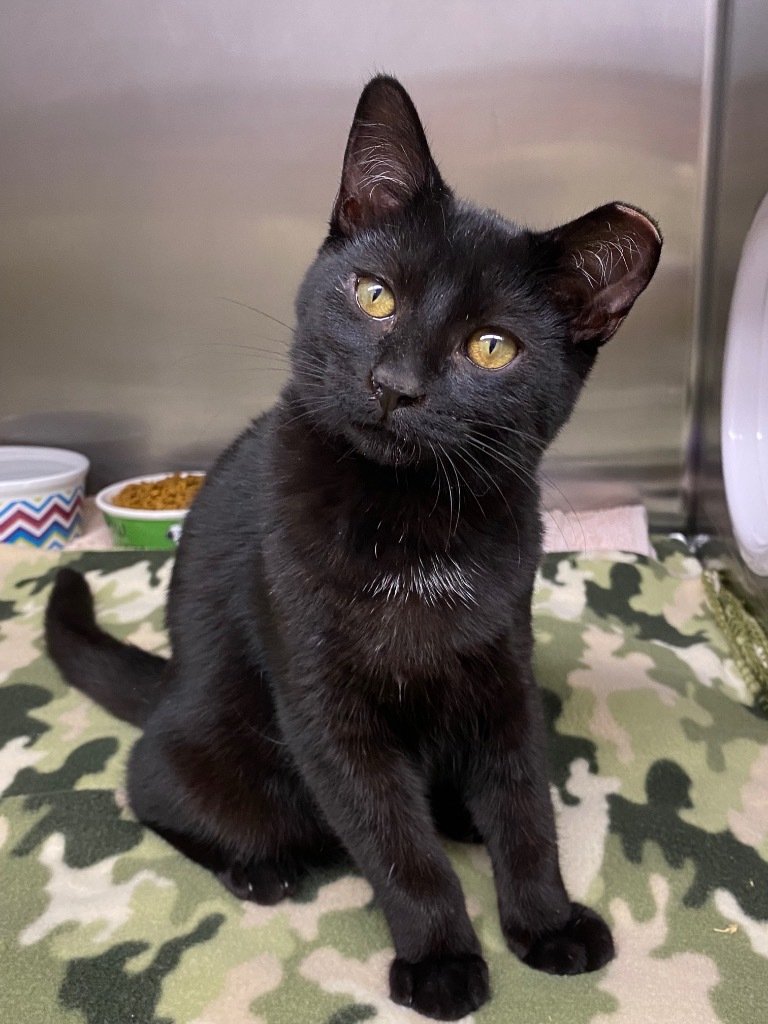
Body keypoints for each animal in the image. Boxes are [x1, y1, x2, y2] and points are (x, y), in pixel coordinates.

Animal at [46, 75, 663, 1019]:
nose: (395, 385)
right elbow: (395, 844)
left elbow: (525, 803)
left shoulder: (503, 667)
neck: (412, 520)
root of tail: (168, 690)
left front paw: (547, 922)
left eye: (492, 347)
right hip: (212, 751)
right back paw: (256, 869)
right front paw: (443, 959)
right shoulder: (323, 701)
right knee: (152, 788)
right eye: (374, 295)